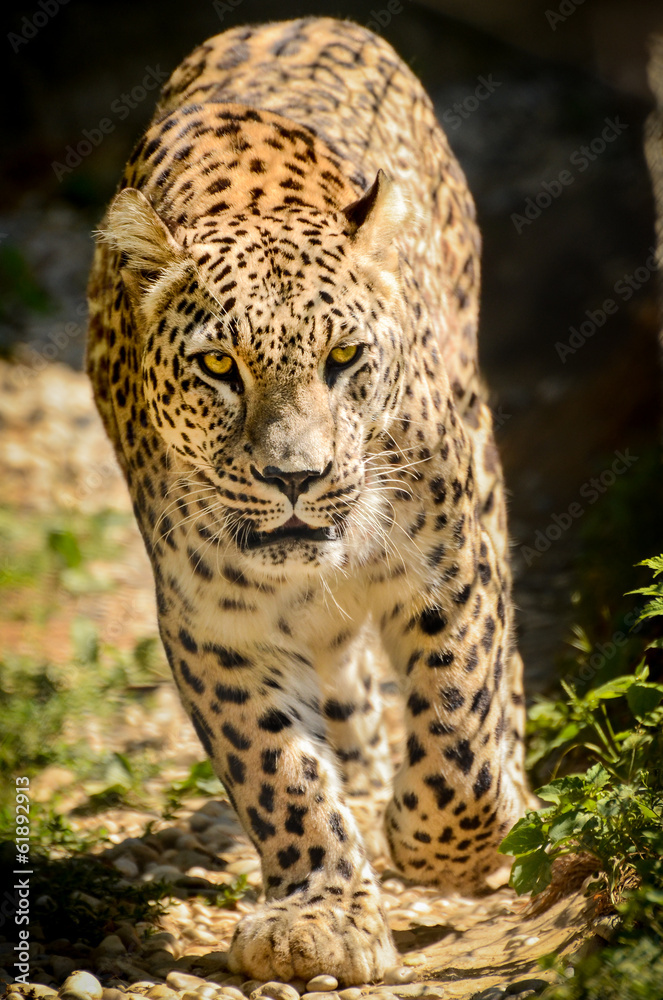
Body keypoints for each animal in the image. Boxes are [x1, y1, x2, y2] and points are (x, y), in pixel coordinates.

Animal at [86, 16, 530, 985]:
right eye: (219, 365)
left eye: (343, 359)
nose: (295, 477)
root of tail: (290, 19)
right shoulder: (216, 621)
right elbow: (277, 769)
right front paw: (320, 916)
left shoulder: (447, 567)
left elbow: (459, 730)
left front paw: (442, 843)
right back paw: (361, 770)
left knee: (497, 676)